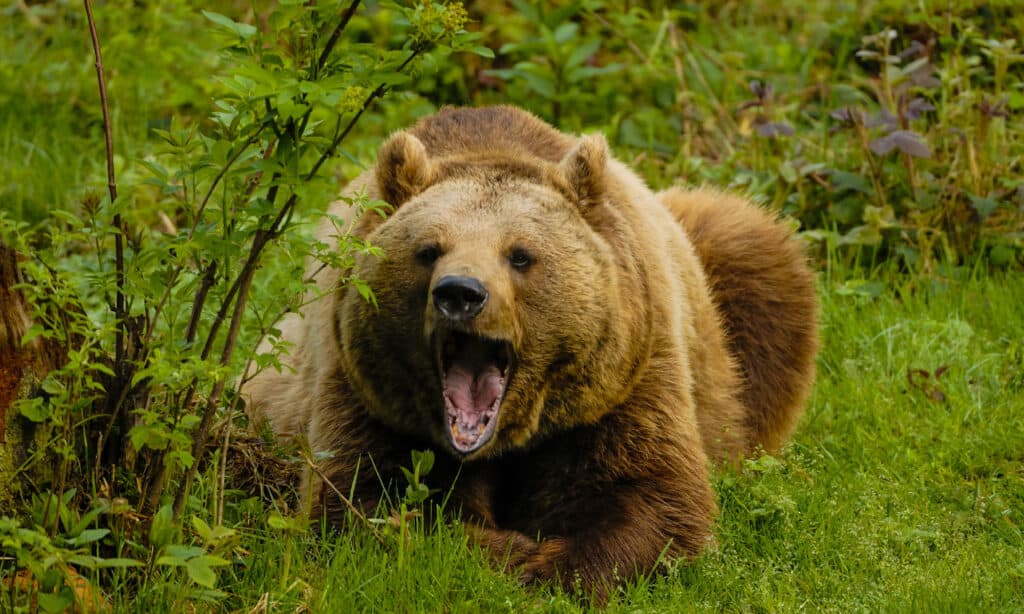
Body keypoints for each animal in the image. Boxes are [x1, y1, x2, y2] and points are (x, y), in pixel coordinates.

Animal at [244, 105, 818, 601]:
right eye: (428, 250)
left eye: (520, 255)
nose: (460, 293)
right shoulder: (364, 387)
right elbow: (365, 502)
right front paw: (508, 553)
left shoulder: (625, 380)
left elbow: (651, 498)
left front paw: (557, 565)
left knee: (752, 250)